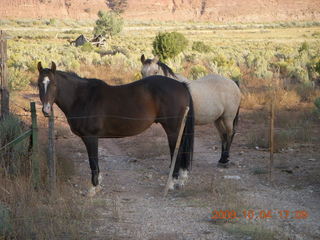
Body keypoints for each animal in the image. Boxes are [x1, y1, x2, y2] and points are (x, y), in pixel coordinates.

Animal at [36, 62, 194, 190]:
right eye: (39, 84)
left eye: (54, 84)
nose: (46, 110)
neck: (82, 98)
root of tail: (181, 85)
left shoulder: (91, 137)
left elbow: (93, 162)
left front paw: (94, 188)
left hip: (173, 130)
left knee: (177, 152)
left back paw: (171, 183)